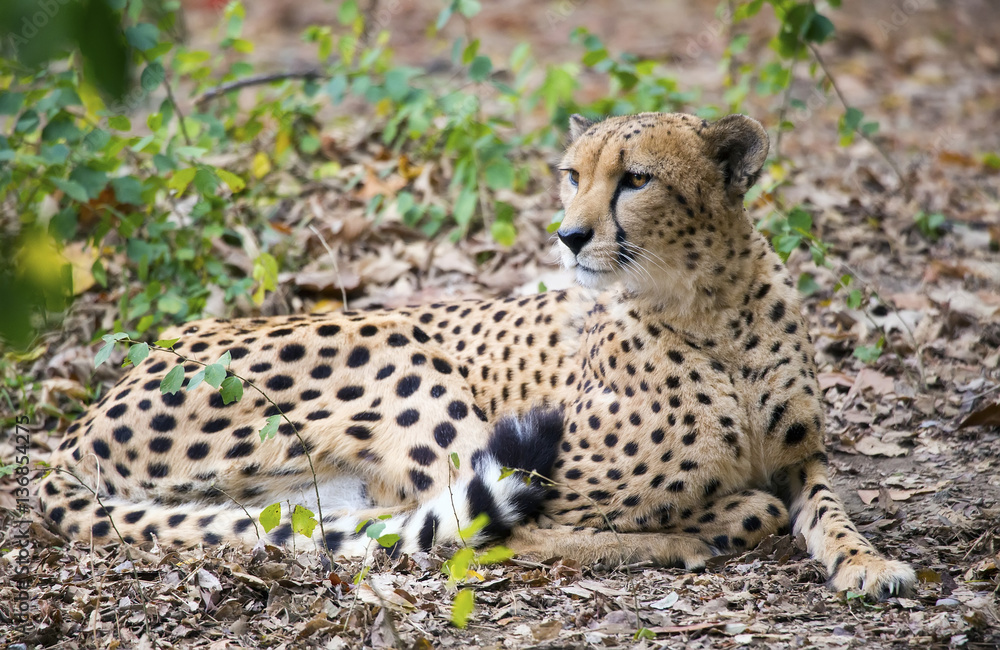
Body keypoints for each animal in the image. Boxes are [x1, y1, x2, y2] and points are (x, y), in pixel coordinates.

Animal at [38, 111, 916, 599]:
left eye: (635, 180)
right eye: (571, 174)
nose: (569, 235)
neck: (711, 306)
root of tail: (77, 427)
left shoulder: (800, 456)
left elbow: (830, 511)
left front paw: (869, 565)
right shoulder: (557, 469)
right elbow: (547, 523)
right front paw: (716, 517)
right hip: (406, 364)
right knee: (476, 535)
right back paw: (703, 534)